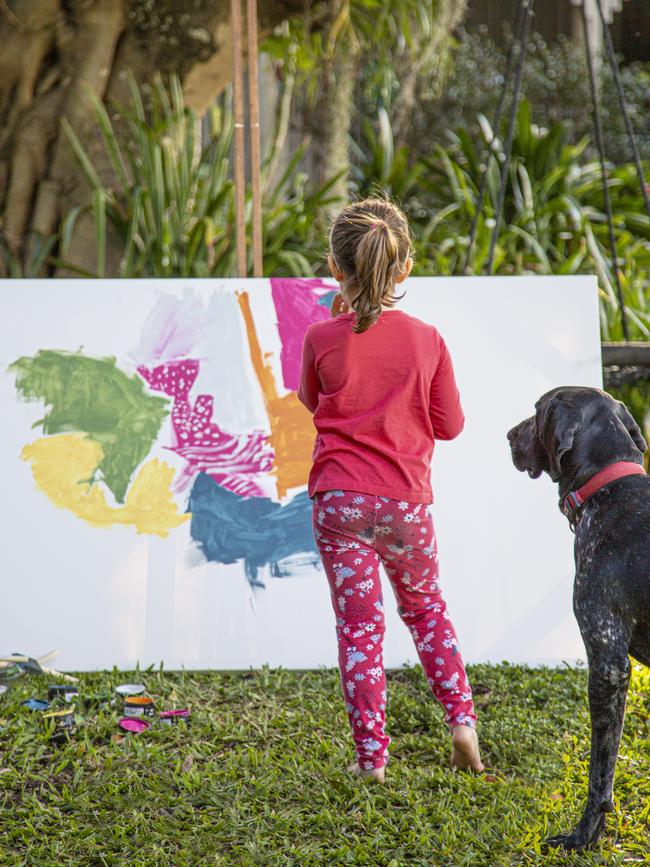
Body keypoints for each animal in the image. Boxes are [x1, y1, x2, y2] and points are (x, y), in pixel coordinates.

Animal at [506, 390, 648, 852]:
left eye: (537, 411)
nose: (508, 434)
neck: (609, 484)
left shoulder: (608, 666)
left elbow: (600, 772)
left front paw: (585, 835)